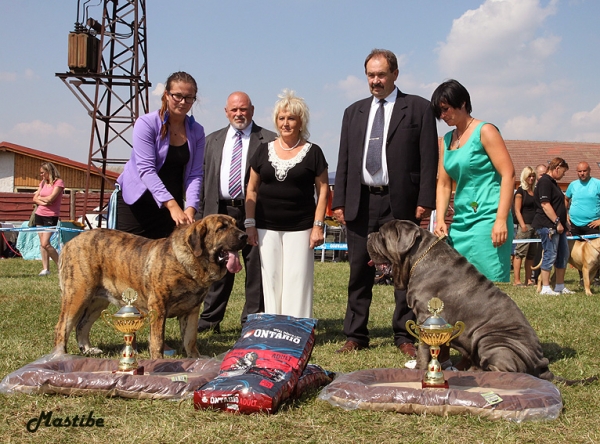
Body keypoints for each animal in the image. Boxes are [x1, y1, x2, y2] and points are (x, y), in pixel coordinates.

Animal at [54, 215, 245, 360]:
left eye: (236, 224)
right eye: (221, 228)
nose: (244, 236)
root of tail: (70, 243)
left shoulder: (191, 310)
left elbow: (190, 338)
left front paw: (196, 359)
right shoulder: (158, 306)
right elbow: (157, 339)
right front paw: (158, 361)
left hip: (98, 302)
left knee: (82, 324)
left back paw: (88, 349)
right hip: (78, 294)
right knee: (63, 325)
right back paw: (60, 356)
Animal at [368, 220, 556, 380]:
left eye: (382, 234)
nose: (369, 235)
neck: (418, 257)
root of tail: (541, 364)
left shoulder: (425, 317)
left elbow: (423, 349)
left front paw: (419, 369)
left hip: (493, 341)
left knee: (504, 370)